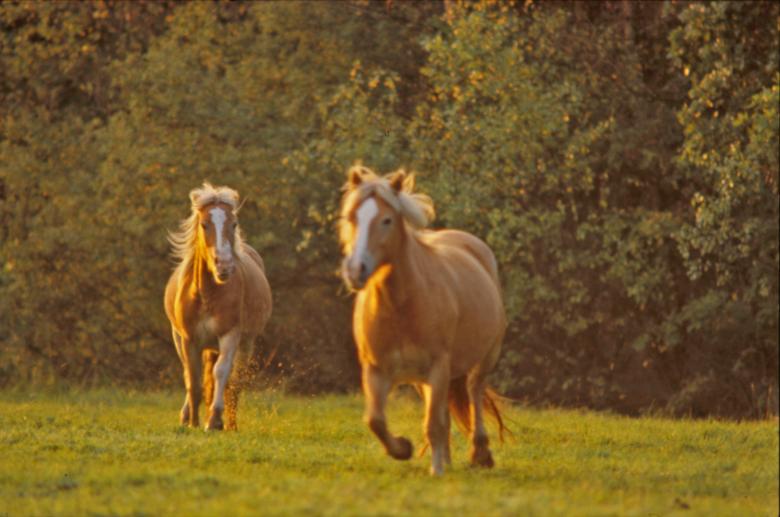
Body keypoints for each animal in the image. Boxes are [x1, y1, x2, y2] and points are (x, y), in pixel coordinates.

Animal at [164, 183, 272, 431]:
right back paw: (187, 415)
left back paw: (229, 424)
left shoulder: (230, 335)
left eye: (234, 224)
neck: (207, 294)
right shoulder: (188, 339)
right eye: (204, 224)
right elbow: (192, 379)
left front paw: (213, 420)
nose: (224, 266)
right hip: (180, 338)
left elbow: (221, 373)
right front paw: (193, 422)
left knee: (233, 382)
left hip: (245, 344)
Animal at [338, 165, 507, 476]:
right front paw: (403, 448)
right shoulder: (376, 370)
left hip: (485, 357)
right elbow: (376, 421)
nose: (356, 270)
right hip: (426, 380)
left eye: (387, 220)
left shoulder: (438, 366)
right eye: (351, 217)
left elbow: (433, 424)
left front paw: (436, 470)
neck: (401, 306)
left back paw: (480, 453)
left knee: (474, 393)